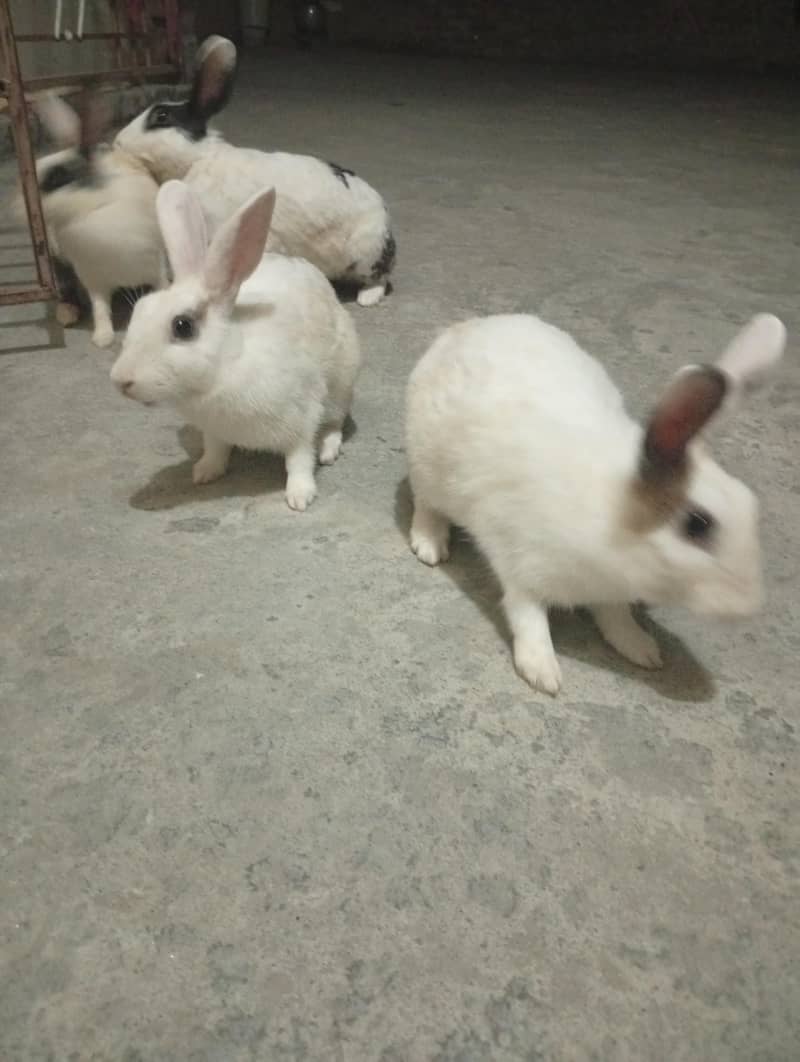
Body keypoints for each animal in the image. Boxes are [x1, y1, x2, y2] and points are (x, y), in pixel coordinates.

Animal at [21, 91, 165, 348]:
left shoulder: (157, 266)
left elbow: (163, 288)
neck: (92, 209)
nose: (19, 202)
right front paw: (103, 337)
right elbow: (100, 308)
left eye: (58, 177)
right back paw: (67, 314)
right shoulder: (94, 279)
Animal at [109, 179, 361, 511]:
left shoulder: (301, 420)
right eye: (139, 310)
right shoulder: (214, 432)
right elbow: (215, 450)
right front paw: (204, 473)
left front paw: (299, 497)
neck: (224, 370)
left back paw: (328, 450)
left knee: (334, 422)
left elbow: (299, 460)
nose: (120, 380)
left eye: (183, 326)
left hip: (341, 385)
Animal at [113, 35, 396, 308]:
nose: (117, 141)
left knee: (378, 279)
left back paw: (367, 299)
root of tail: (387, 228)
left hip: (365, 251)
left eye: (161, 116)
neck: (197, 161)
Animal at [405, 312, 787, 695]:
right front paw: (543, 672)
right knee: (426, 504)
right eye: (697, 524)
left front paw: (641, 649)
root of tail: (464, 328)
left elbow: (616, 618)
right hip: (428, 469)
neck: (613, 523)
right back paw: (430, 545)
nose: (749, 607)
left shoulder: (611, 592)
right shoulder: (521, 567)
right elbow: (528, 617)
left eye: (751, 504)